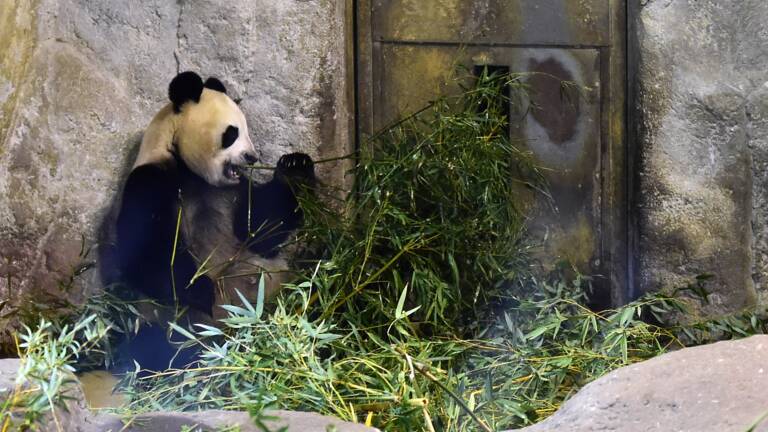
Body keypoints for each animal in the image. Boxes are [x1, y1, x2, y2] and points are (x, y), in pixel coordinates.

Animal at [109, 71, 315, 371]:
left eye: (246, 129)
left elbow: (260, 232)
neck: (190, 172)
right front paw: (200, 290)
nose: (252, 157)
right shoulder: (149, 182)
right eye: (232, 133)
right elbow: (142, 254)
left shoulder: (234, 191)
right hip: (160, 320)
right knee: (151, 348)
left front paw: (295, 167)